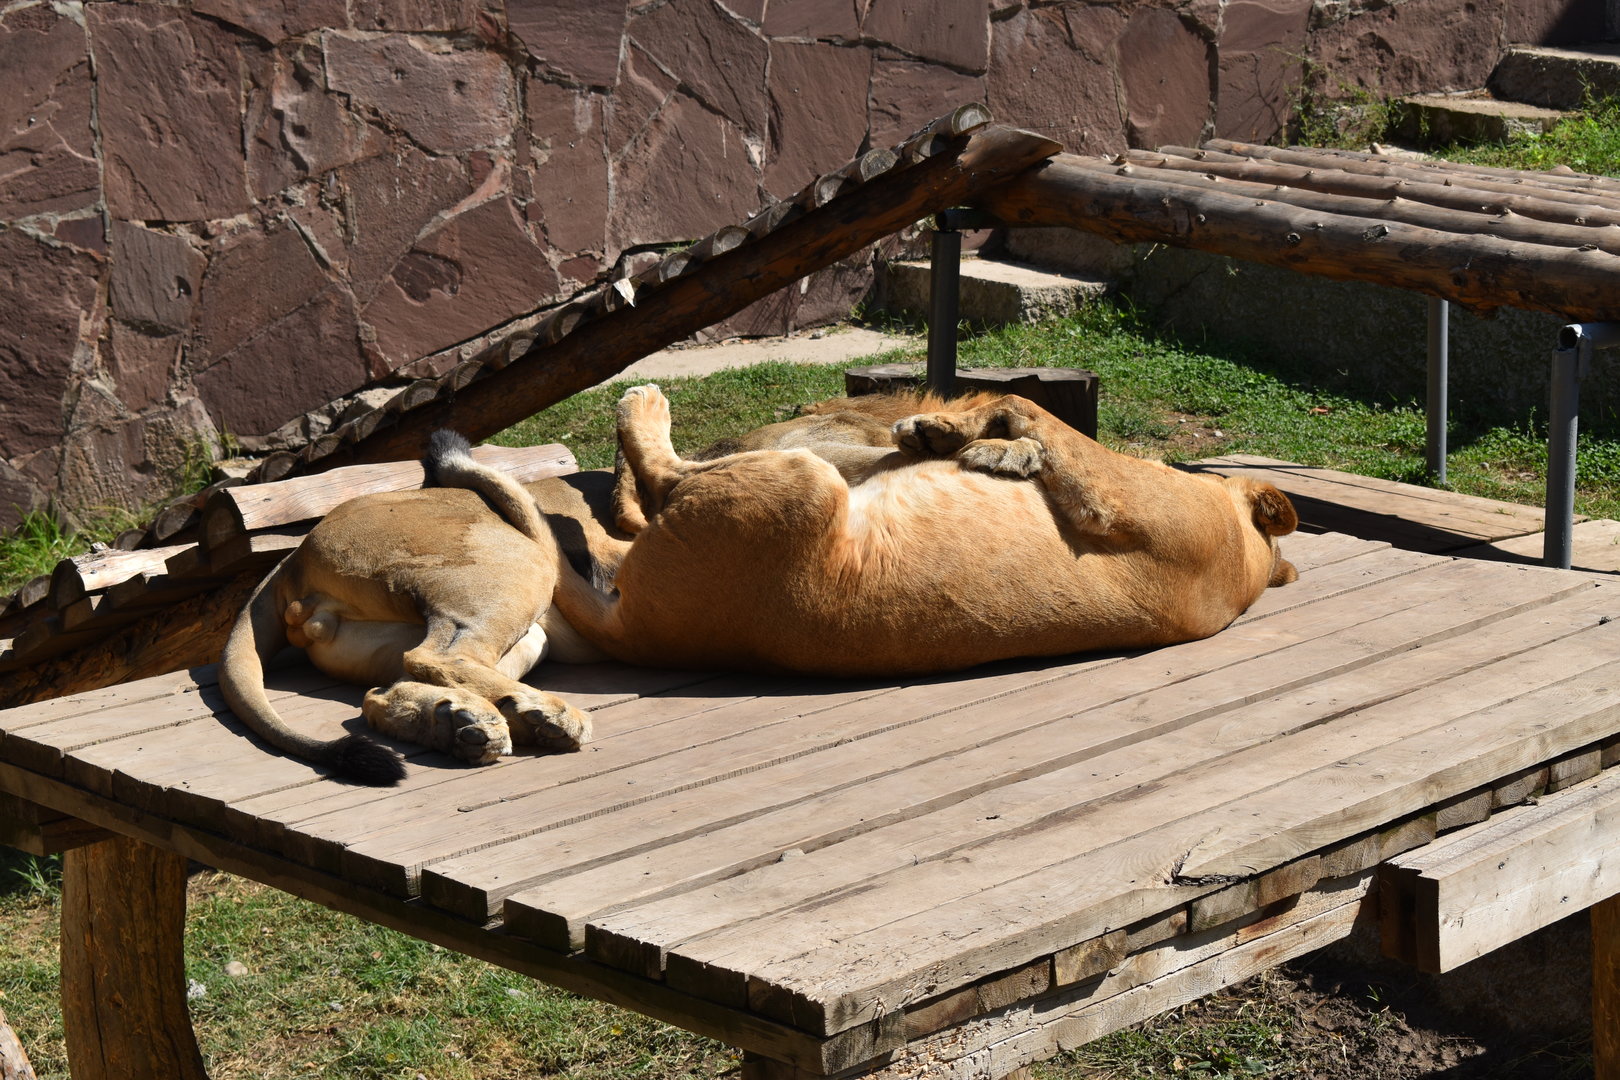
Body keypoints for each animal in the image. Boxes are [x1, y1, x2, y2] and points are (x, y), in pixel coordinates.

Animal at [219, 386, 1297, 786]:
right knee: (403, 679)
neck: (1239, 570)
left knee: (646, 476)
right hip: (519, 607)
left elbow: (1031, 407)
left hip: (756, 500)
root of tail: (286, 568)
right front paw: (963, 438)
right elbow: (1011, 414)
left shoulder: (1118, 499)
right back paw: (486, 728)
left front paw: (971, 434)